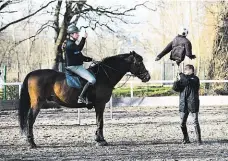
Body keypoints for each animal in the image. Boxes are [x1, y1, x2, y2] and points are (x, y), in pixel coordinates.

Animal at [18, 51, 151, 148]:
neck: (104, 75)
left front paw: (98, 139)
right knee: (30, 120)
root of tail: (32, 73)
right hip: (37, 103)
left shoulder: (99, 105)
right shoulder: (100, 104)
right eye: (139, 62)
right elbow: (100, 122)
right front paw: (101, 141)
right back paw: (31, 143)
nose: (147, 77)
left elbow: (98, 121)